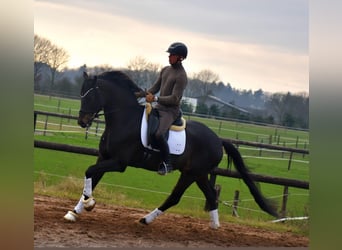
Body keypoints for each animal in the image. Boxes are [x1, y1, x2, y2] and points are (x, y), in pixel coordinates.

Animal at [64, 70, 278, 229]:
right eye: (81, 94)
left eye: (90, 95)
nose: (82, 122)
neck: (124, 120)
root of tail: (218, 140)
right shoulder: (103, 158)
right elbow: (91, 177)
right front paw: (76, 211)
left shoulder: (118, 163)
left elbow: (90, 172)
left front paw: (89, 204)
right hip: (199, 174)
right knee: (211, 196)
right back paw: (214, 226)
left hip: (191, 173)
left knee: (175, 197)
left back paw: (147, 219)